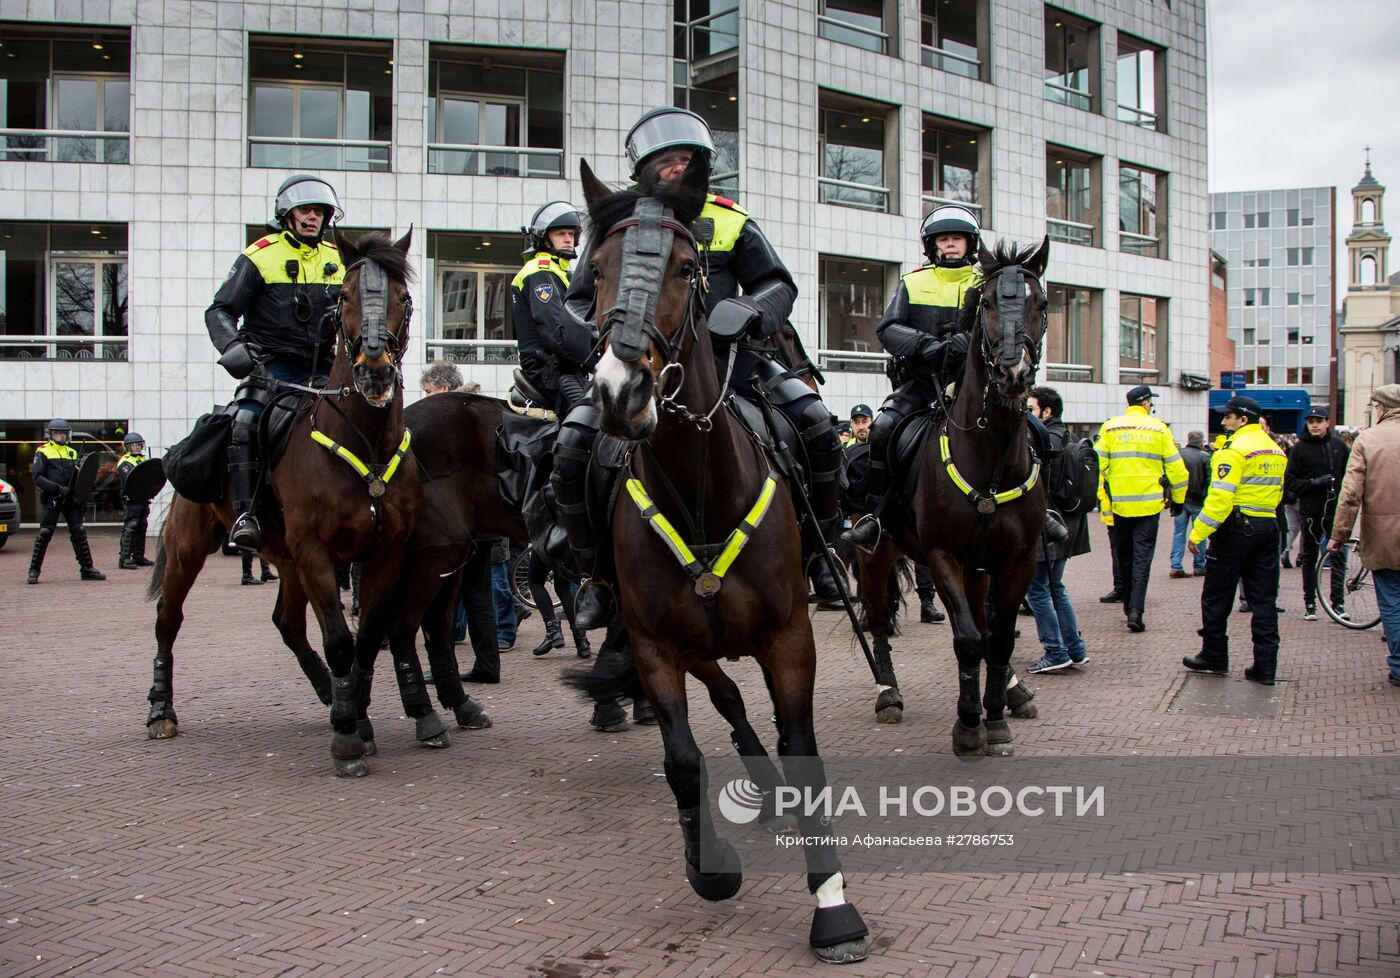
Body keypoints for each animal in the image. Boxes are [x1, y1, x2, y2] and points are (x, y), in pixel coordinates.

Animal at [142, 229, 434, 777]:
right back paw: (160, 710)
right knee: (168, 620)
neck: (363, 441)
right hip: (190, 548)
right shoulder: (317, 551)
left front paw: (356, 715)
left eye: (403, 298)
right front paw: (348, 738)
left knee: (288, 624)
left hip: (286, 560)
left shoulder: (384, 551)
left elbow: (366, 638)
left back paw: (328, 693)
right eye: (345, 296)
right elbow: (340, 640)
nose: (375, 370)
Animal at [576, 156, 862, 968]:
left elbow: (803, 750)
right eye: (596, 270)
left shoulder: (790, 639)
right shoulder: (654, 646)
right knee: (729, 701)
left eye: (683, 266)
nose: (621, 392)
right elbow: (682, 758)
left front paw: (833, 907)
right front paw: (708, 869)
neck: (700, 493)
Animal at [851, 237, 1052, 755]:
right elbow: (967, 639)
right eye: (988, 304)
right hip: (875, 556)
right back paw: (887, 693)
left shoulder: (1017, 560)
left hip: (979, 571)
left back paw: (1014, 691)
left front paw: (995, 717)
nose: (1013, 373)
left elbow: (998, 637)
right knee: (878, 621)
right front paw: (968, 724)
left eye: (1041, 303)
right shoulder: (944, 557)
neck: (990, 460)